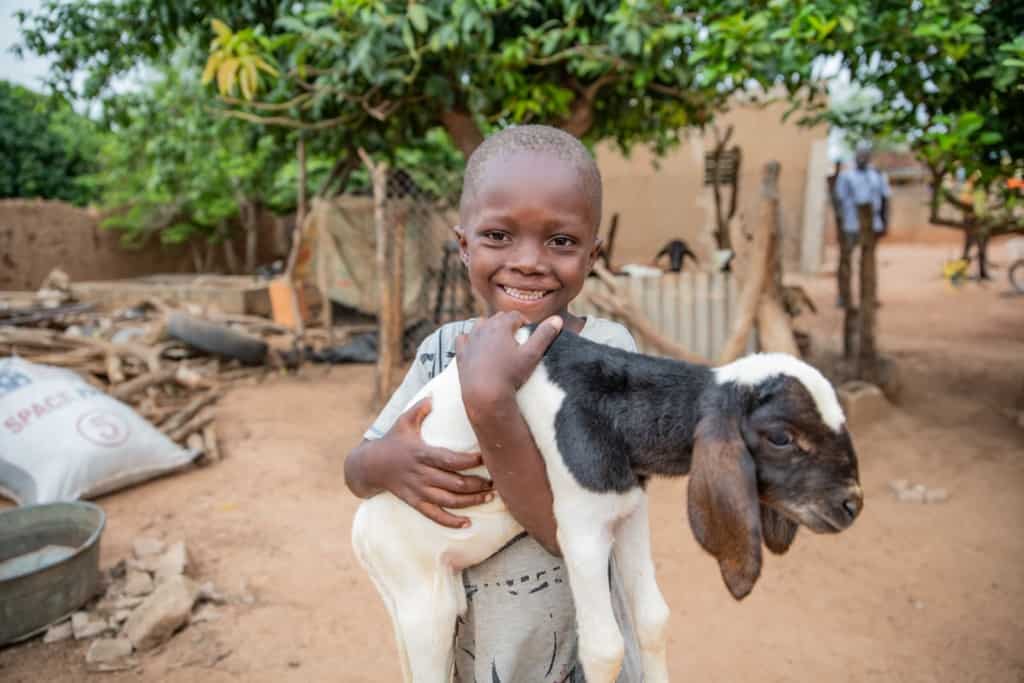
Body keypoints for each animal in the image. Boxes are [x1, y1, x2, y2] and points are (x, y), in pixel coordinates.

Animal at [348, 327, 860, 679]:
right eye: (781, 437)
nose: (851, 503)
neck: (611, 407)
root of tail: (361, 531)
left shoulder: (628, 510)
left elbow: (652, 618)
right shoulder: (580, 528)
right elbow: (604, 648)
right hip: (419, 600)